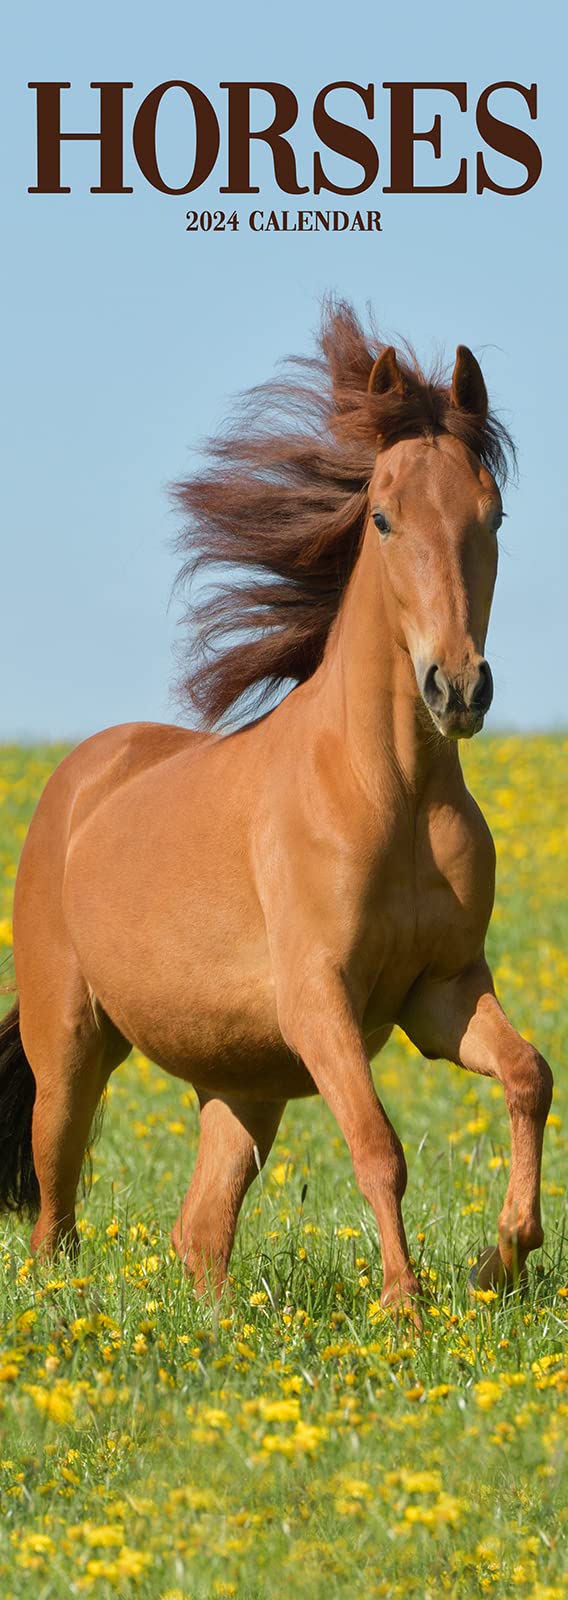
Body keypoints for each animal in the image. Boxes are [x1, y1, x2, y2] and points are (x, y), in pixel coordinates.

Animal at [0, 302, 553, 1318]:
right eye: (381, 518)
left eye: (492, 515)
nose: (457, 688)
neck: (390, 791)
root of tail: (80, 782)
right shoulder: (320, 1001)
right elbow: (379, 1148)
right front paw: (406, 1307)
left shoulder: (442, 994)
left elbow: (529, 1075)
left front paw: (501, 1259)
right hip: (72, 1050)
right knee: (55, 1217)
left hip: (242, 1085)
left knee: (200, 1231)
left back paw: (221, 1322)